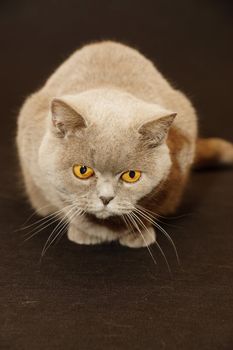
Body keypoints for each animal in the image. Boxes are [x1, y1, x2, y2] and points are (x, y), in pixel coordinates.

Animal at [16, 41, 233, 249]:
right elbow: (65, 202)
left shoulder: (177, 170)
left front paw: (137, 233)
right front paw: (88, 232)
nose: (105, 198)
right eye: (82, 171)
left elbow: (152, 205)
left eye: (131, 175)